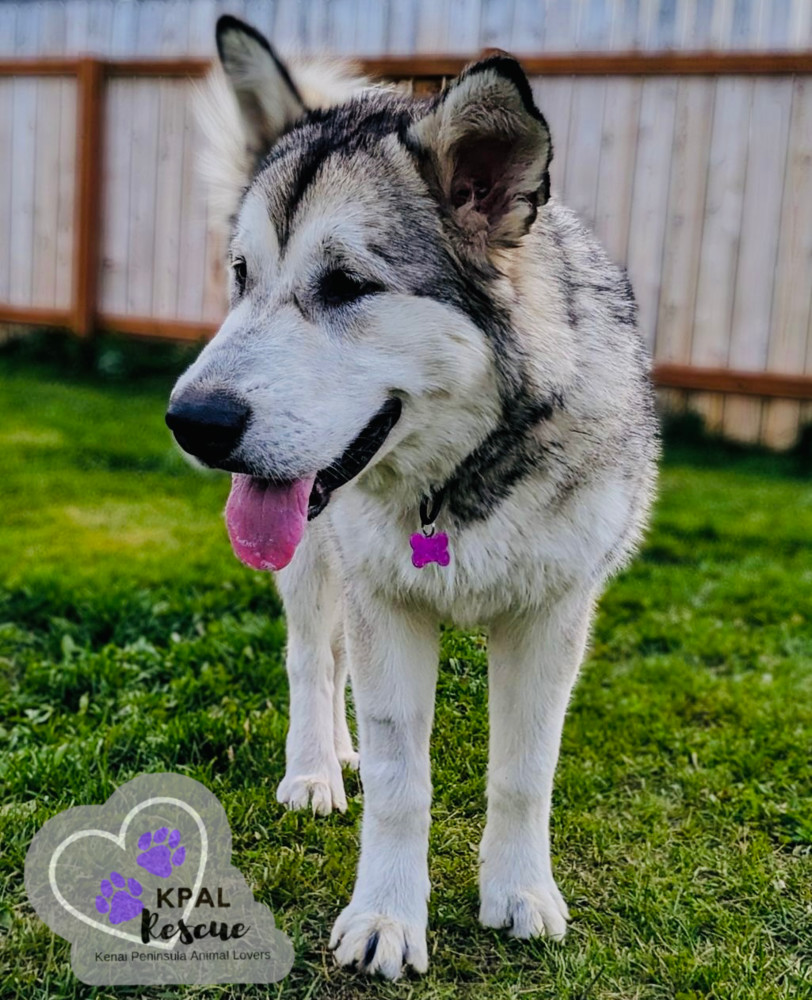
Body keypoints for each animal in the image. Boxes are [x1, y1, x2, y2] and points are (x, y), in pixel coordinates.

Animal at [167, 15, 660, 980]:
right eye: (242, 274)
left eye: (346, 285)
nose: (191, 420)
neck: (456, 482)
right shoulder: (385, 601)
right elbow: (402, 782)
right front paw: (387, 917)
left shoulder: (553, 617)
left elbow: (524, 772)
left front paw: (518, 892)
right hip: (315, 568)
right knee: (313, 659)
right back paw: (317, 768)